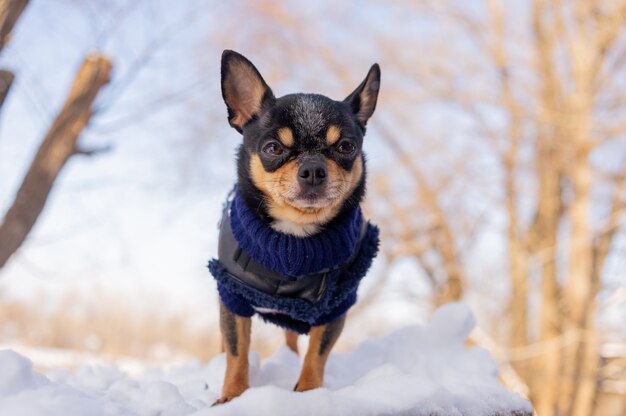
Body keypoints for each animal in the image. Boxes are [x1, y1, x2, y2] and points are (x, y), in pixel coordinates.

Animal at [207, 50, 378, 404]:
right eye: (273, 148)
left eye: (346, 147)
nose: (313, 169)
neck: (295, 240)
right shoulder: (232, 297)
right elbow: (237, 353)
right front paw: (231, 398)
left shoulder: (334, 307)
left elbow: (317, 354)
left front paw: (308, 394)